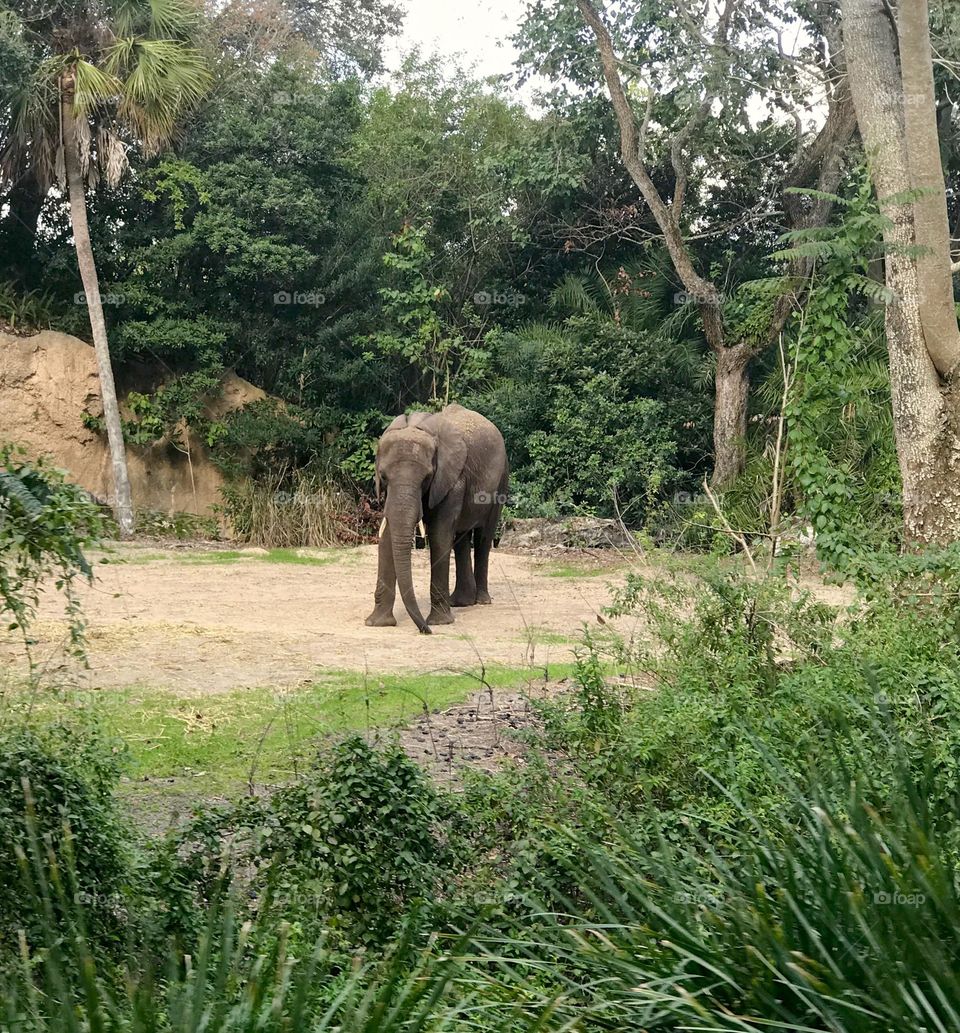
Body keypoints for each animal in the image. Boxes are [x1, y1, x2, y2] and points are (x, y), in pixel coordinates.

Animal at [364, 403, 509, 634]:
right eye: (383, 476)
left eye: (426, 478)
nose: (425, 630)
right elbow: (387, 534)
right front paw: (377, 623)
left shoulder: (452, 480)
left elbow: (440, 534)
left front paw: (439, 623)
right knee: (461, 538)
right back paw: (460, 602)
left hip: (502, 479)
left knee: (483, 537)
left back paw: (481, 601)